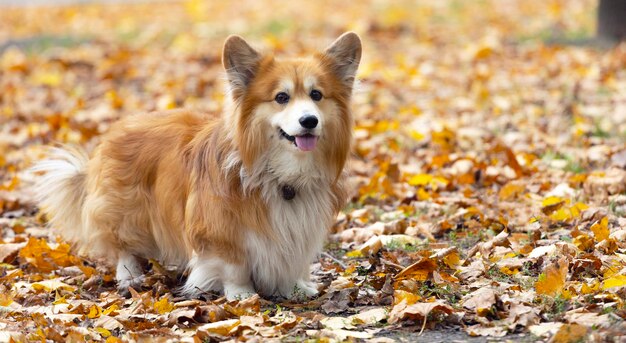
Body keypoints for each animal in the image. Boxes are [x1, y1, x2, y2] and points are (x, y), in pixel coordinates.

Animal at [33, 33, 360, 300]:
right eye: (281, 97)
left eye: (316, 95)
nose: (309, 121)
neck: (280, 174)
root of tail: (111, 133)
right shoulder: (219, 229)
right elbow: (234, 266)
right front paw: (242, 294)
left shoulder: (298, 230)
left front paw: (295, 287)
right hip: (127, 214)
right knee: (124, 248)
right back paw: (130, 276)